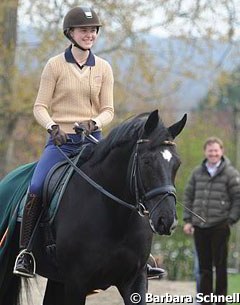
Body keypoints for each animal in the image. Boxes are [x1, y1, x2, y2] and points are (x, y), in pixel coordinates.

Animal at [0, 110, 187, 304]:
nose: (167, 220)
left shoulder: (135, 279)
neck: (115, 217)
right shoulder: (76, 283)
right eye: (147, 161)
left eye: (177, 164)